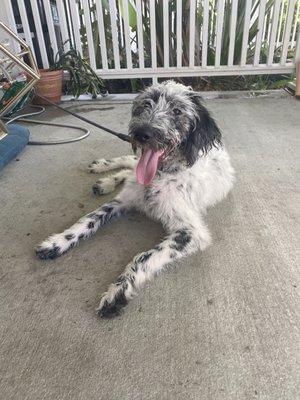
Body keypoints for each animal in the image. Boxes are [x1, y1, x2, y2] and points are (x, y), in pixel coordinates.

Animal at [35, 81, 234, 318]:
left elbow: (143, 257)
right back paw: (103, 175)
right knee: (128, 162)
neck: (160, 175)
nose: (142, 133)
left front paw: (119, 291)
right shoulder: (121, 202)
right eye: (145, 105)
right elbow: (89, 219)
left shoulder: (191, 232)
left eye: (177, 111)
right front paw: (57, 242)